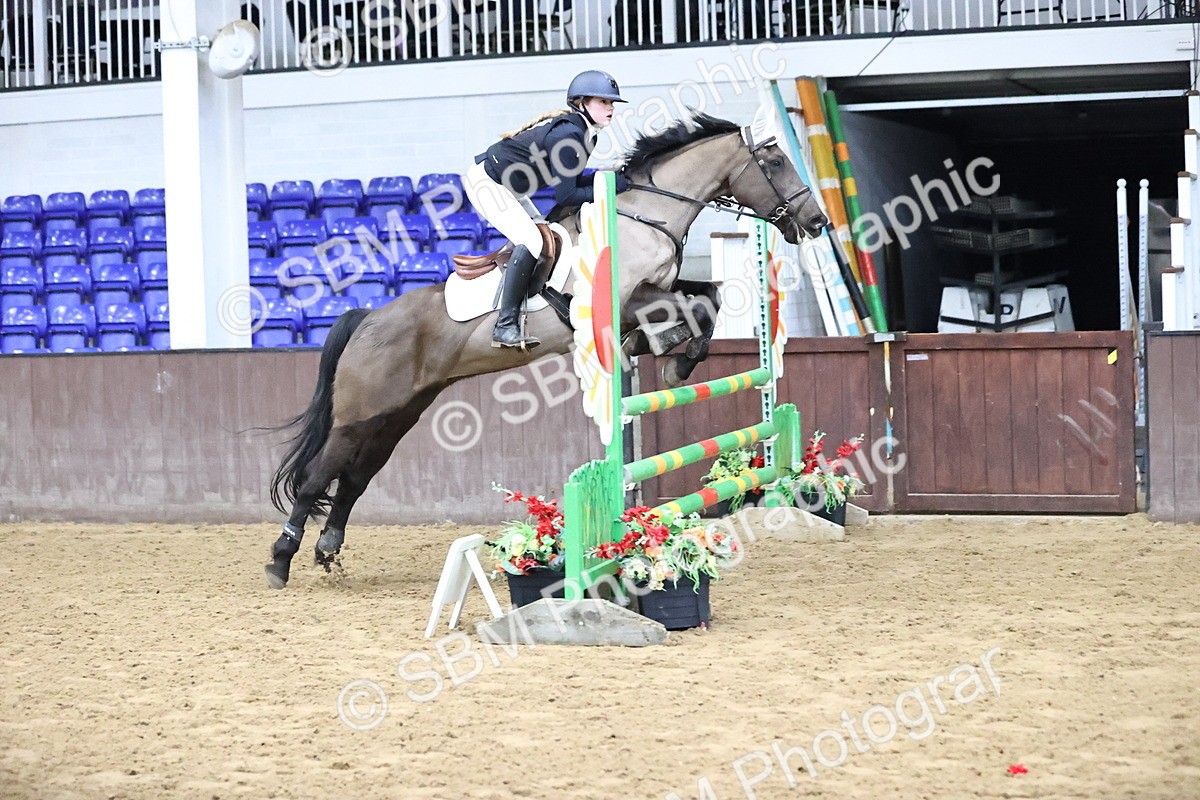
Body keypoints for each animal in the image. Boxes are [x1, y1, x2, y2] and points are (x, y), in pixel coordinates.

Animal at [264, 112, 829, 589]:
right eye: (775, 162)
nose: (816, 222)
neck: (644, 215)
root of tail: (367, 317)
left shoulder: (652, 296)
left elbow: (707, 295)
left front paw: (675, 356)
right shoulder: (625, 299)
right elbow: (688, 305)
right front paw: (675, 354)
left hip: (396, 415)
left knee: (354, 478)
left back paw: (327, 549)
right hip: (359, 414)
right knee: (315, 478)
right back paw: (280, 561)